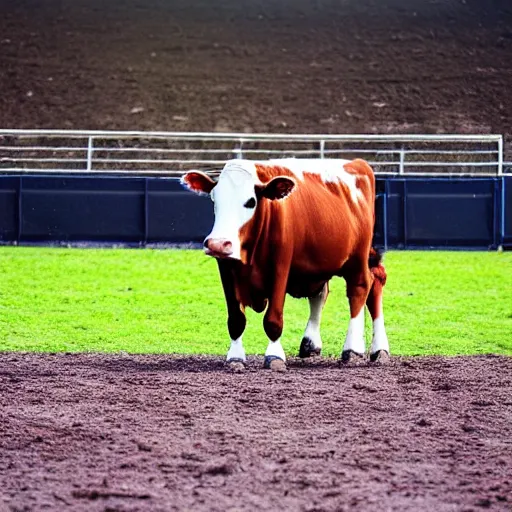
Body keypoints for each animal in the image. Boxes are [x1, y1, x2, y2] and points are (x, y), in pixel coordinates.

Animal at [182, 158, 390, 370]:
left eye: (251, 202)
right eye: (214, 199)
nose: (217, 243)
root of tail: (357, 163)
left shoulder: (280, 267)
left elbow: (273, 319)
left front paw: (274, 356)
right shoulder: (226, 267)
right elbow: (236, 319)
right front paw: (235, 357)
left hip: (358, 257)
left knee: (362, 287)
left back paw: (357, 347)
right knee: (326, 292)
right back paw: (314, 343)